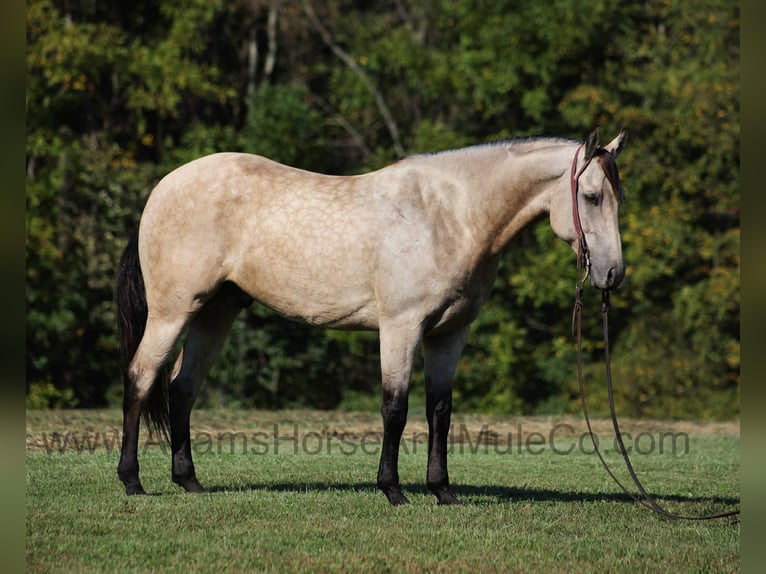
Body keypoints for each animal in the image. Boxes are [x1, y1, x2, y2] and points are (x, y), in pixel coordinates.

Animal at [115, 126, 627, 504]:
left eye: (618, 196)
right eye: (592, 197)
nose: (613, 273)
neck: (450, 216)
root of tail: (163, 188)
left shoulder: (450, 334)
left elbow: (439, 410)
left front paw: (442, 492)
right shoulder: (401, 327)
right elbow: (395, 408)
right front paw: (393, 490)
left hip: (214, 314)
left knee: (182, 388)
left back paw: (189, 481)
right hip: (173, 312)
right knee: (141, 378)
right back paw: (132, 481)